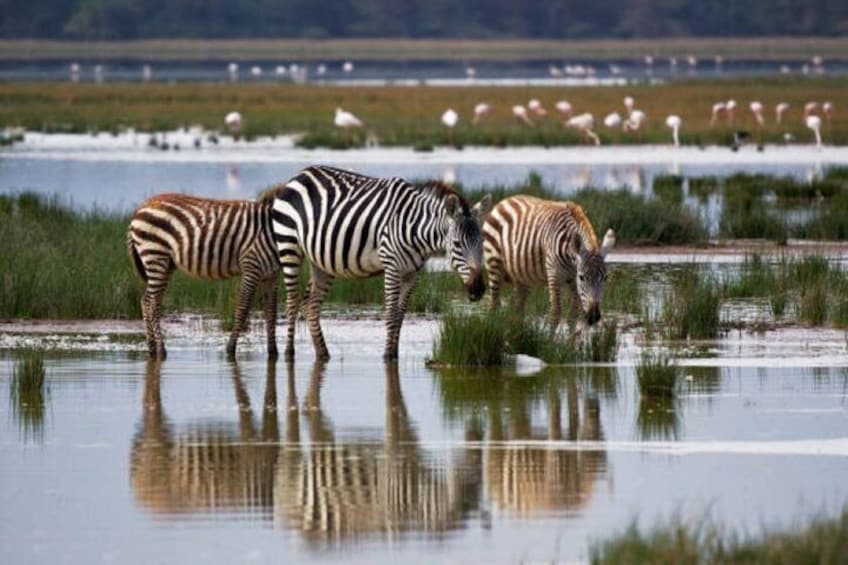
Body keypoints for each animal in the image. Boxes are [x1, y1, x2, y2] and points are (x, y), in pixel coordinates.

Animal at [127, 192, 281, 359]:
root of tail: (140, 209)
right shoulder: (251, 266)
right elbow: (243, 308)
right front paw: (230, 349)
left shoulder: (271, 275)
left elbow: (272, 311)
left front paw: (273, 352)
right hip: (155, 255)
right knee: (152, 304)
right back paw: (161, 350)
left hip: (165, 264)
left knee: (146, 301)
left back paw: (151, 348)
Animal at [271, 165, 491, 360]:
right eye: (457, 244)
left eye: (482, 243)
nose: (478, 288)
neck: (415, 229)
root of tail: (300, 175)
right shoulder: (392, 266)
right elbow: (391, 313)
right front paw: (387, 356)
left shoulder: (412, 274)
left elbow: (401, 315)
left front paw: (394, 354)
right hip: (289, 246)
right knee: (292, 301)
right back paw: (289, 352)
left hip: (321, 261)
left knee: (311, 304)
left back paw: (323, 353)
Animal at [482, 195, 615, 328]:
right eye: (582, 277)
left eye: (605, 278)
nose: (594, 317)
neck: (571, 262)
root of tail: (505, 201)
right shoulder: (554, 274)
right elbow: (556, 312)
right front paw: (550, 335)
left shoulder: (573, 280)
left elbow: (573, 315)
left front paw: (571, 335)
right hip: (494, 263)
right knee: (494, 305)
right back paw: (491, 327)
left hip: (522, 276)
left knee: (517, 308)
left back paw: (515, 331)